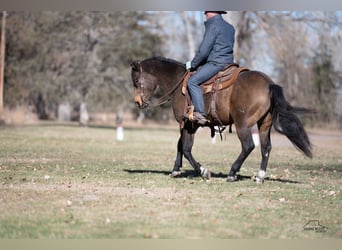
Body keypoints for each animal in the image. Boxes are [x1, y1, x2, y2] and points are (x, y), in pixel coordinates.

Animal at [130, 55, 312, 183]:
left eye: (137, 80)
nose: (137, 102)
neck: (180, 84)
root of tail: (268, 83)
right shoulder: (188, 125)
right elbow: (180, 145)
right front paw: (175, 169)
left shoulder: (188, 125)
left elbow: (186, 149)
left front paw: (203, 171)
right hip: (264, 125)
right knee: (265, 147)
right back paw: (260, 176)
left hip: (242, 125)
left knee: (248, 146)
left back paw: (232, 173)